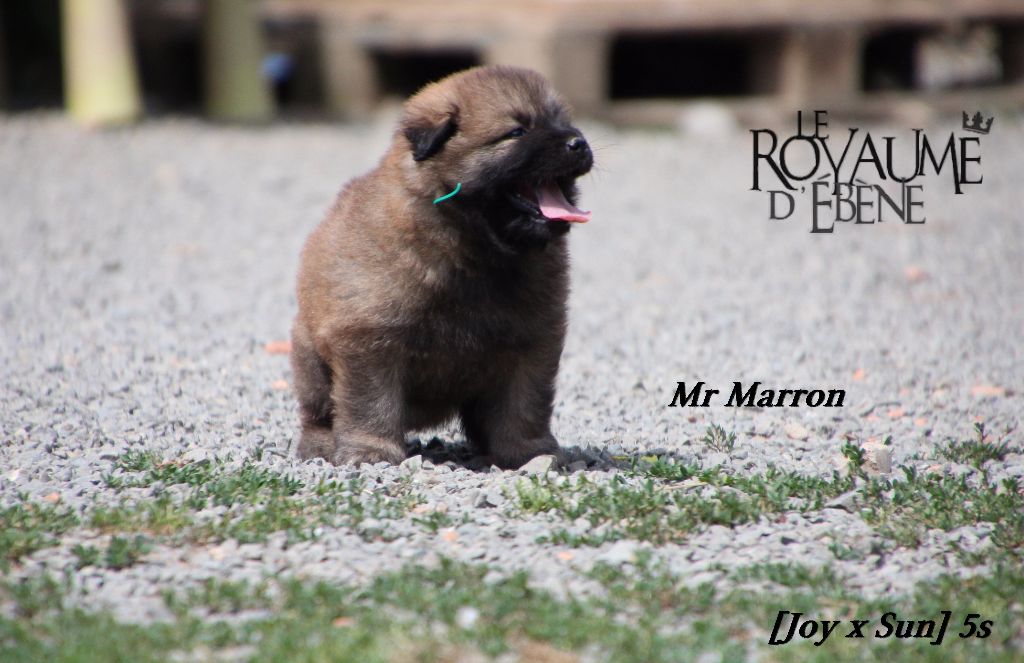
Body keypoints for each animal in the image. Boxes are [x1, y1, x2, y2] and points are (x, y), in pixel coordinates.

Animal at [290, 65, 593, 468]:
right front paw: (371, 450)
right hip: (310, 357)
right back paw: (320, 443)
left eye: (562, 122)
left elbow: (525, 402)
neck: (470, 243)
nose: (579, 143)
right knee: (319, 412)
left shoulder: (533, 339)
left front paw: (527, 451)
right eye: (517, 132)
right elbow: (371, 401)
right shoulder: (369, 338)